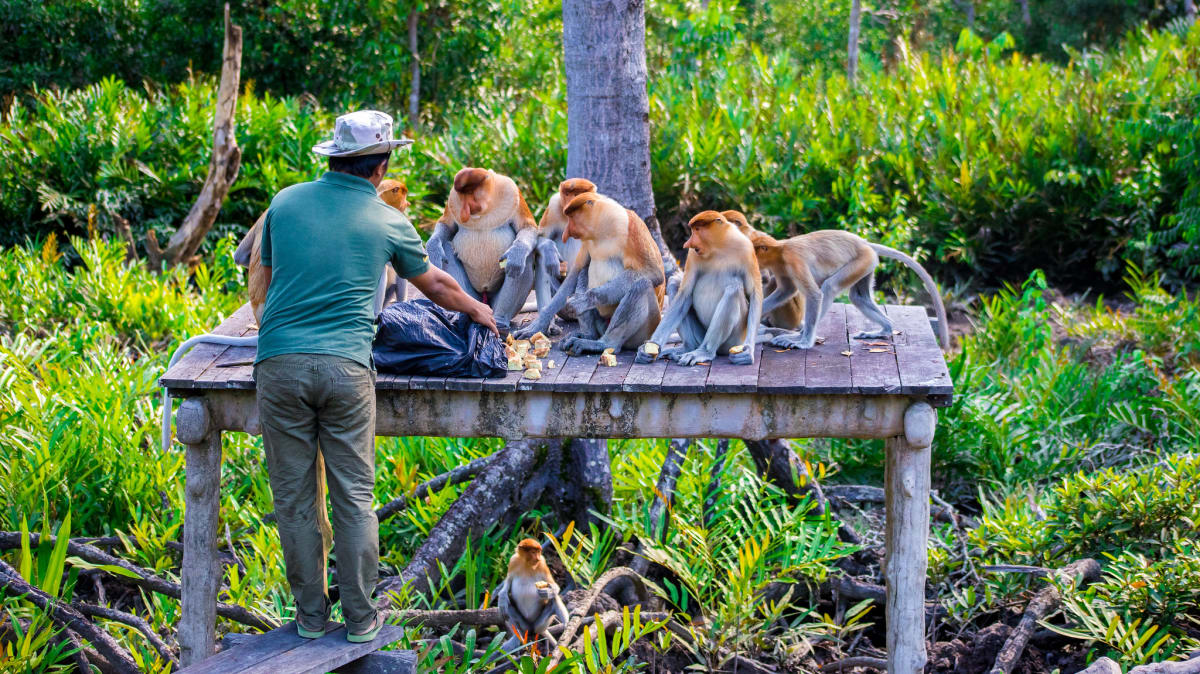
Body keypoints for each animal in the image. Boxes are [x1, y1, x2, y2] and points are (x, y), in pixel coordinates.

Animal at [422, 166, 535, 331]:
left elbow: (527, 227)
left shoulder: (513, 192)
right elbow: (446, 225)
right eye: (461, 196)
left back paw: (500, 320)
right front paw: (433, 250)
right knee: (447, 248)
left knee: (524, 261)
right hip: (472, 296)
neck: (486, 208)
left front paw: (516, 254)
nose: (464, 213)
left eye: (470, 193)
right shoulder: (452, 199)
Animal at [511, 191, 667, 354]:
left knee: (641, 285)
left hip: (646, 330)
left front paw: (580, 301)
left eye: (572, 217)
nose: (566, 232)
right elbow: (576, 272)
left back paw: (603, 344)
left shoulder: (632, 228)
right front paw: (537, 325)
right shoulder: (586, 240)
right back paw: (588, 336)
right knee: (584, 273)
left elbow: (652, 273)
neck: (603, 229)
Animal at [744, 227, 950, 347]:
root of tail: (865, 243)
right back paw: (885, 329)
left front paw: (802, 343)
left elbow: (814, 295)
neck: (780, 249)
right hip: (867, 265)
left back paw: (803, 337)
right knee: (859, 297)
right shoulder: (781, 267)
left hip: (861, 261)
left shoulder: (794, 261)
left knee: (829, 288)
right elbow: (785, 291)